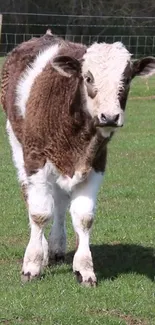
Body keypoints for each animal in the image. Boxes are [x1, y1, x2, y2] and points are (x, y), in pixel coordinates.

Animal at [1, 33, 155, 284]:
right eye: (88, 77)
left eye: (127, 78)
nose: (109, 116)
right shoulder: (35, 157)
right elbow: (39, 213)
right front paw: (32, 264)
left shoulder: (97, 162)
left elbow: (84, 217)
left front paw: (84, 269)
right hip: (17, 143)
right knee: (30, 195)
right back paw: (43, 250)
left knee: (60, 201)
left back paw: (56, 248)